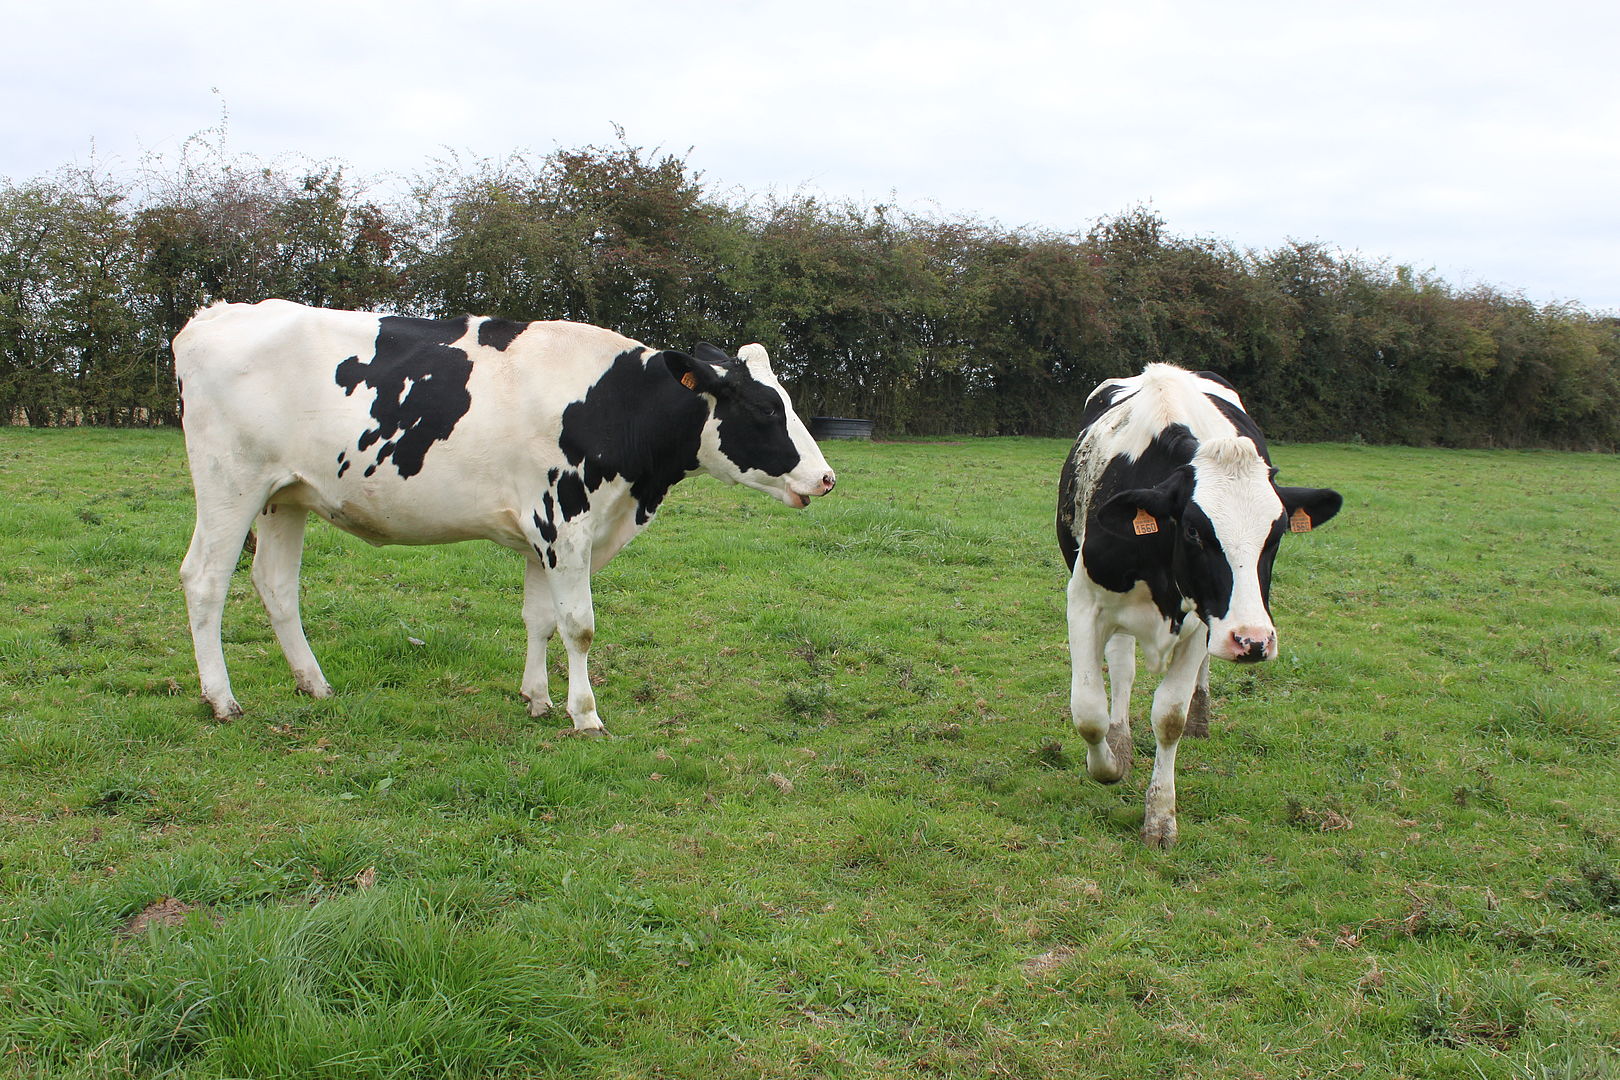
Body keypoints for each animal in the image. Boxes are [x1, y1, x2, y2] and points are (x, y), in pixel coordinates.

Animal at [174, 299, 835, 731]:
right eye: (764, 408)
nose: (825, 477)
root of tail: (216, 313)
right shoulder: (565, 522)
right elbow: (579, 625)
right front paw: (584, 714)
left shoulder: (541, 533)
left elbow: (538, 619)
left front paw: (537, 698)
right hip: (230, 485)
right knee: (205, 579)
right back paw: (221, 700)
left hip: (286, 494)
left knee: (276, 585)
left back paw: (315, 686)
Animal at [1056, 367, 1334, 848]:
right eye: (1193, 531)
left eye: (1277, 532)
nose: (1254, 640)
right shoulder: (1086, 601)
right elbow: (1089, 711)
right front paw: (1108, 766)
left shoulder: (1206, 622)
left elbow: (1170, 716)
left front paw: (1161, 818)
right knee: (1123, 667)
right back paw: (1121, 738)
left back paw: (1200, 714)